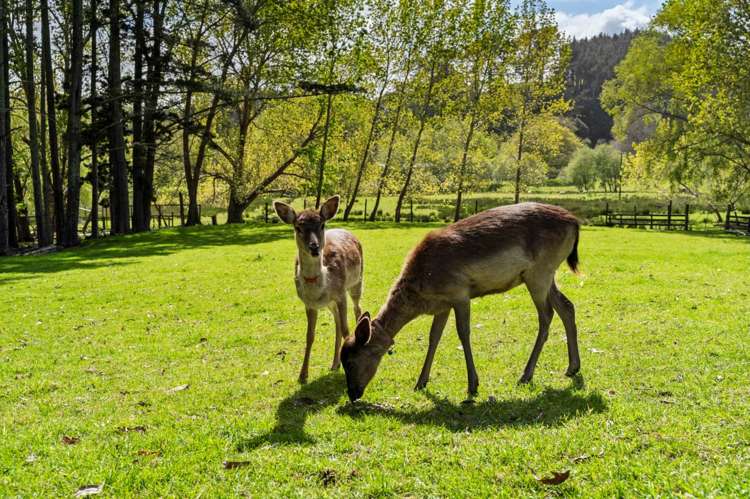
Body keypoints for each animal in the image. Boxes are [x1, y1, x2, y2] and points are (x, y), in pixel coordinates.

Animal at [274, 195, 366, 382]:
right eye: (298, 227)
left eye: (322, 225)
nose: (314, 247)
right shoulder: (309, 304)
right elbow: (310, 336)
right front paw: (302, 375)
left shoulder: (340, 294)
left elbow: (346, 330)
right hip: (330, 304)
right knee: (337, 322)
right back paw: (335, 364)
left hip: (357, 282)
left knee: (357, 310)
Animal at [344, 202, 584, 402]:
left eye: (352, 360)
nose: (352, 394)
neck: (423, 291)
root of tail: (575, 222)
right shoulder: (442, 305)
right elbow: (434, 337)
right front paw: (420, 382)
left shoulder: (459, 293)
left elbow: (463, 333)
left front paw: (472, 385)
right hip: (545, 275)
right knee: (567, 306)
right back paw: (572, 367)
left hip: (539, 272)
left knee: (547, 315)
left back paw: (526, 375)